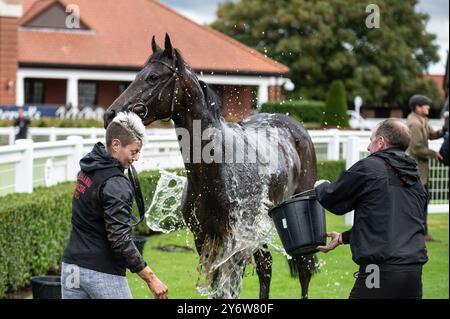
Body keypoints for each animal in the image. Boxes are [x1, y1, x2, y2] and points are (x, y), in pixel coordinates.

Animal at [104, 33, 318, 298]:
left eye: (153, 77)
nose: (110, 114)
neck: (216, 169)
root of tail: (294, 126)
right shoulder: (203, 239)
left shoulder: (235, 244)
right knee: (265, 266)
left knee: (304, 271)